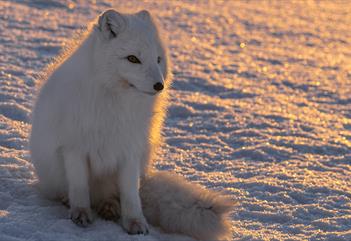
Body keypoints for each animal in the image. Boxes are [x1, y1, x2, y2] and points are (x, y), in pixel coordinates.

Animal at [30, 8, 232, 240]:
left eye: (158, 59)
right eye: (133, 59)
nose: (159, 85)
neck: (116, 104)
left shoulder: (130, 150)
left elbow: (130, 194)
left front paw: (135, 222)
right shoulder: (74, 148)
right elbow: (79, 187)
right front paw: (80, 213)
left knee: (117, 195)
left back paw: (110, 207)